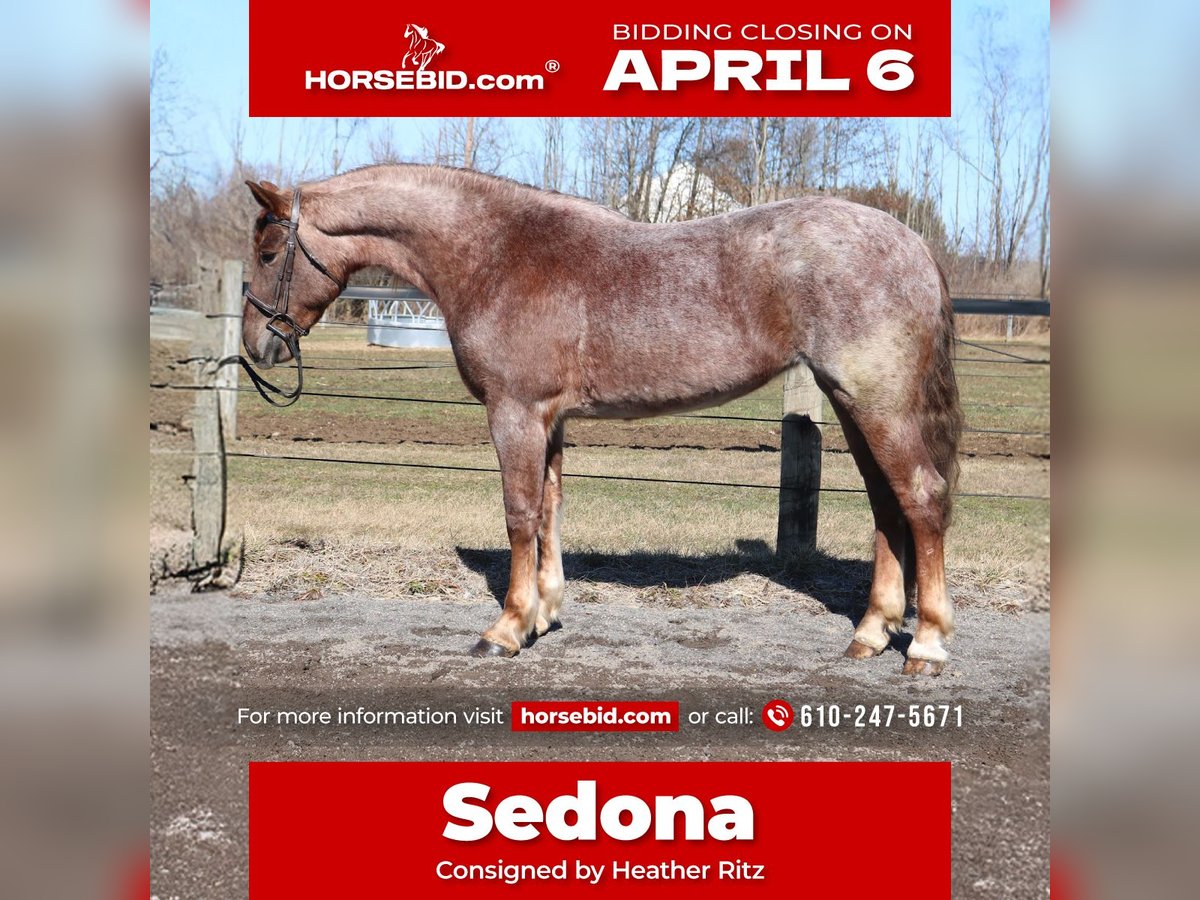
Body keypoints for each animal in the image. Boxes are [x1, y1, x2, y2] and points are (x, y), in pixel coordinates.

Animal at [242, 165, 963, 676]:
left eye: (271, 252)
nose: (257, 346)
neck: (495, 253)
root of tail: (912, 244)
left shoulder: (514, 413)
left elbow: (519, 515)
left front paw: (505, 630)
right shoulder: (550, 419)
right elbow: (550, 510)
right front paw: (543, 616)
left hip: (877, 404)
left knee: (921, 498)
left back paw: (925, 645)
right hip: (852, 402)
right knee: (887, 506)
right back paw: (871, 633)